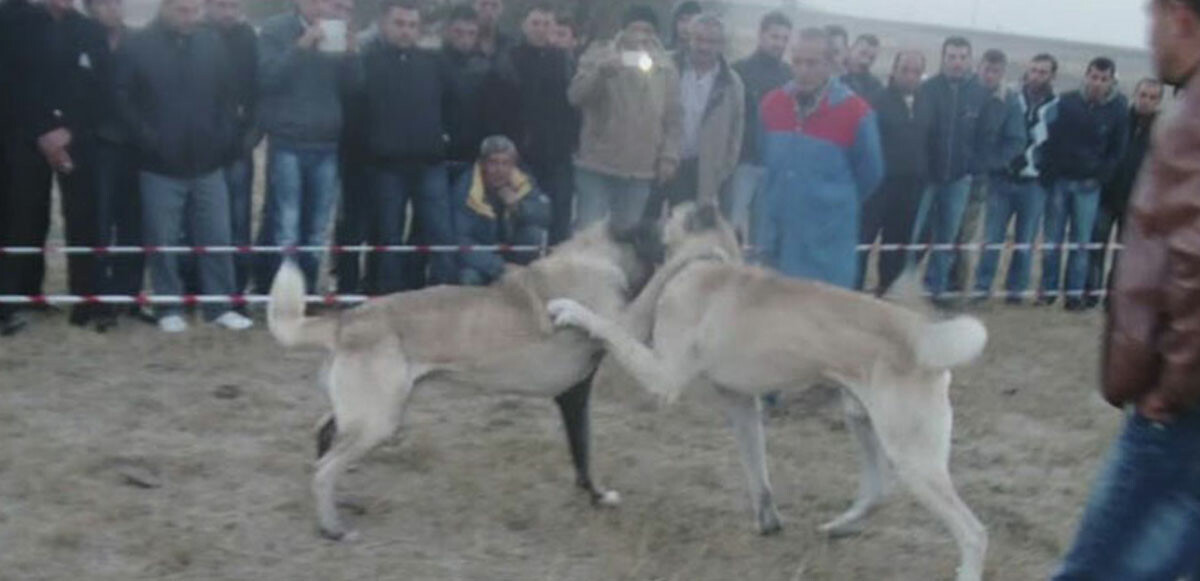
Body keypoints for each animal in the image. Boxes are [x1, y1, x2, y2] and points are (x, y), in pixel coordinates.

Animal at [270, 222, 700, 540]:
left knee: (323, 436)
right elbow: (658, 284)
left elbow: (583, 455)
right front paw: (692, 252)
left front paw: (596, 496)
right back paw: (332, 529)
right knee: (325, 467)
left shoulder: (574, 396)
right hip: (377, 422)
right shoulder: (627, 326)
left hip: (372, 411)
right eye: (657, 236)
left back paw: (340, 504)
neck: (595, 256)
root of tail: (345, 321)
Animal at [549, 205, 988, 581]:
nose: (634, 222)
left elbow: (607, 325)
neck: (711, 257)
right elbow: (757, 468)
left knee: (973, 531)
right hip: (862, 422)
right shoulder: (741, 403)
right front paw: (769, 521)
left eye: (667, 213)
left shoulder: (663, 377)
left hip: (913, 456)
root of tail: (920, 333)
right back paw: (838, 527)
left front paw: (570, 309)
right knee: (878, 490)